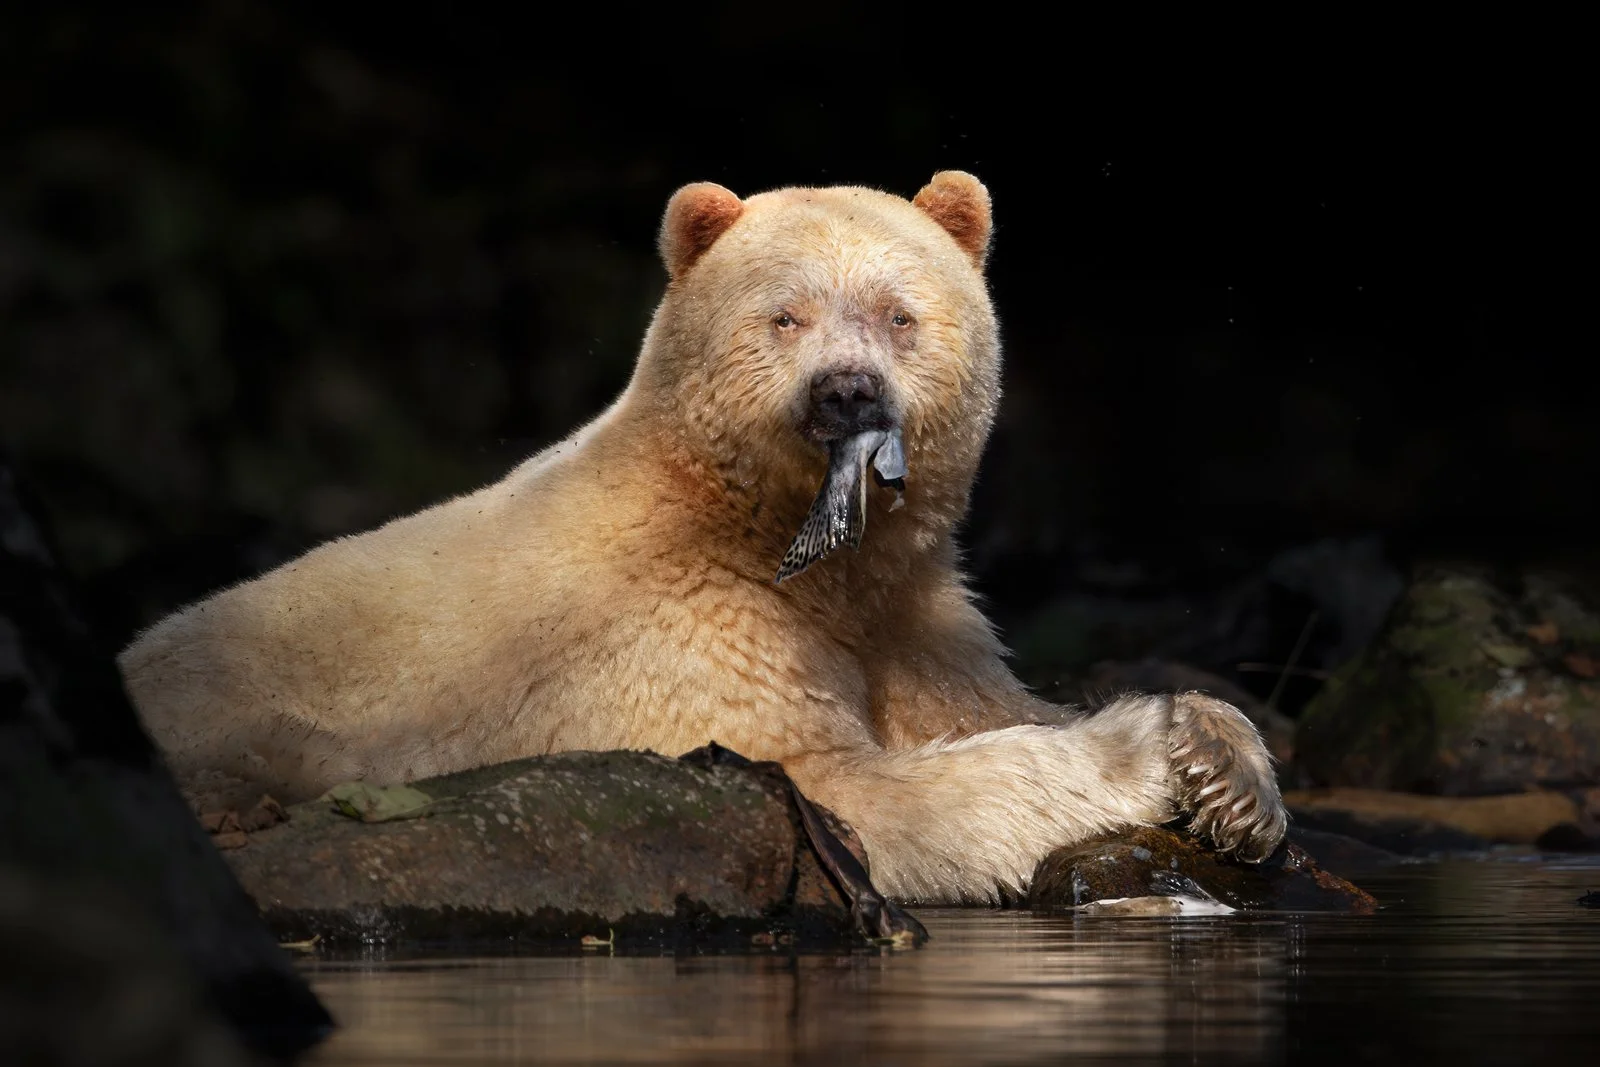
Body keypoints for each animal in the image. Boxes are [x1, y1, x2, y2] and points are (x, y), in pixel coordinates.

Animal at [119, 171, 1288, 905]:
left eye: (899, 313)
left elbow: (985, 703)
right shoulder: (679, 637)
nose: (847, 390)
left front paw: (1231, 775)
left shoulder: (913, 620)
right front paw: (1148, 749)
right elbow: (850, 794)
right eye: (785, 315)